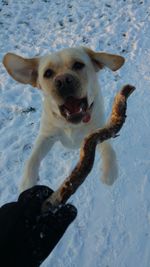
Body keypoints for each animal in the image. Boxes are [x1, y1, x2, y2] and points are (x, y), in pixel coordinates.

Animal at [2, 47, 125, 192]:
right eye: (48, 73)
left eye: (78, 65)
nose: (63, 80)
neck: (72, 125)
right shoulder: (46, 136)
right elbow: (32, 159)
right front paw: (27, 183)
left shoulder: (98, 131)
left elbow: (108, 149)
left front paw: (109, 171)